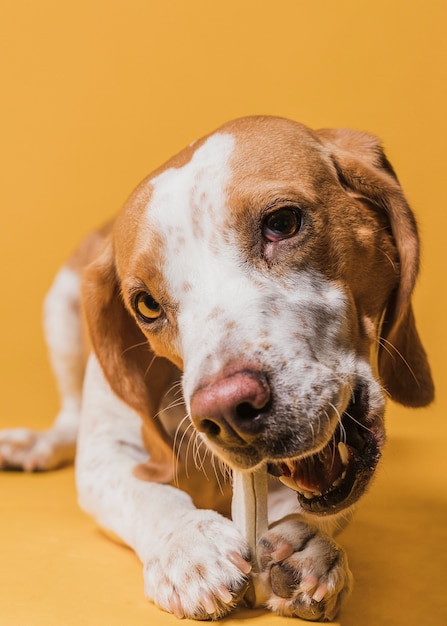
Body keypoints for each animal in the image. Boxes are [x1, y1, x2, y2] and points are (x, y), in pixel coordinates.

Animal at [0, 117, 434, 620]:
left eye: (282, 223)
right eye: (146, 305)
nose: (226, 412)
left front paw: (307, 543)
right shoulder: (106, 453)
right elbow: (148, 493)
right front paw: (187, 543)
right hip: (62, 306)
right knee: (70, 417)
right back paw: (37, 443)